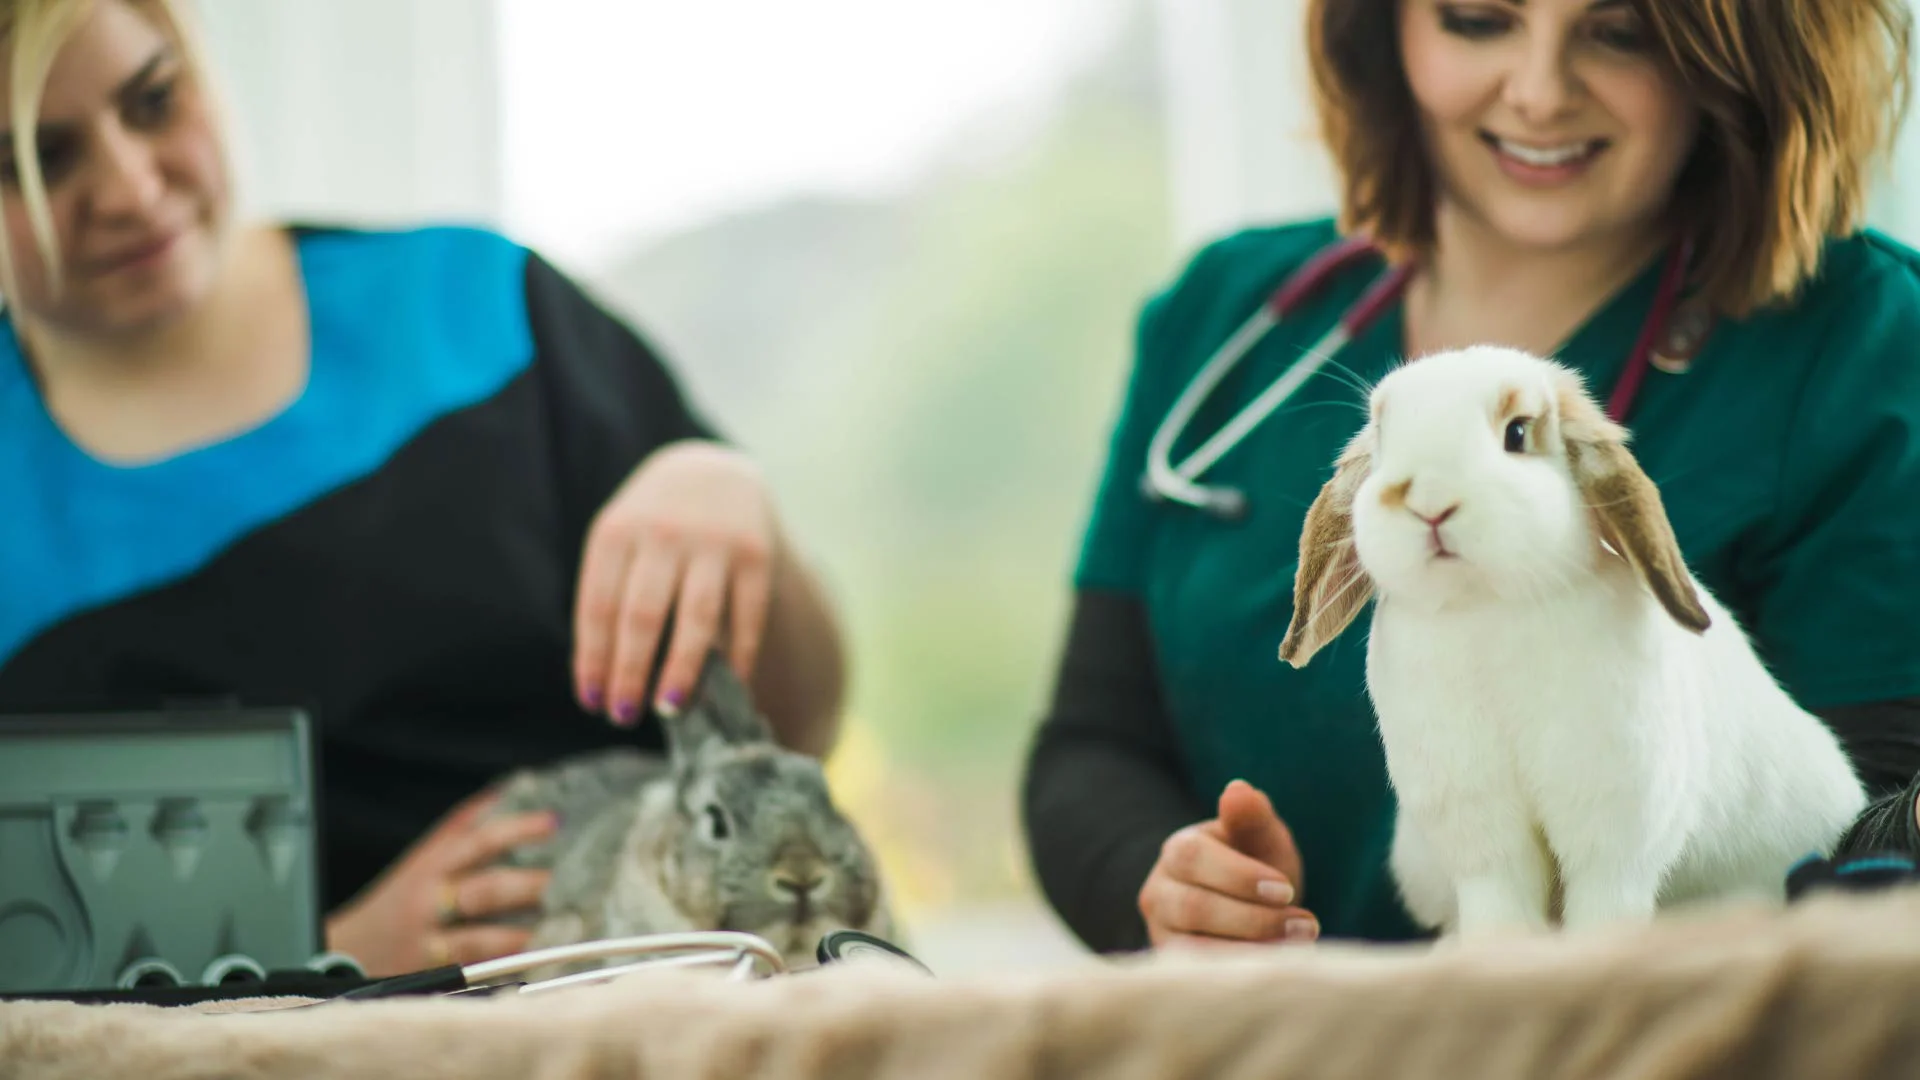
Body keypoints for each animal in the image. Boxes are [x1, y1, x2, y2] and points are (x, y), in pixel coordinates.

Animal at [1275, 344, 1866, 940]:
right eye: (1382, 436)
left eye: (1516, 433)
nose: (1430, 500)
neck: (1486, 607)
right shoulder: (1478, 819)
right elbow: (1499, 895)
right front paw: (1497, 949)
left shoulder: (1616, 811)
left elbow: (1606, 896)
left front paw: (1599, 948)